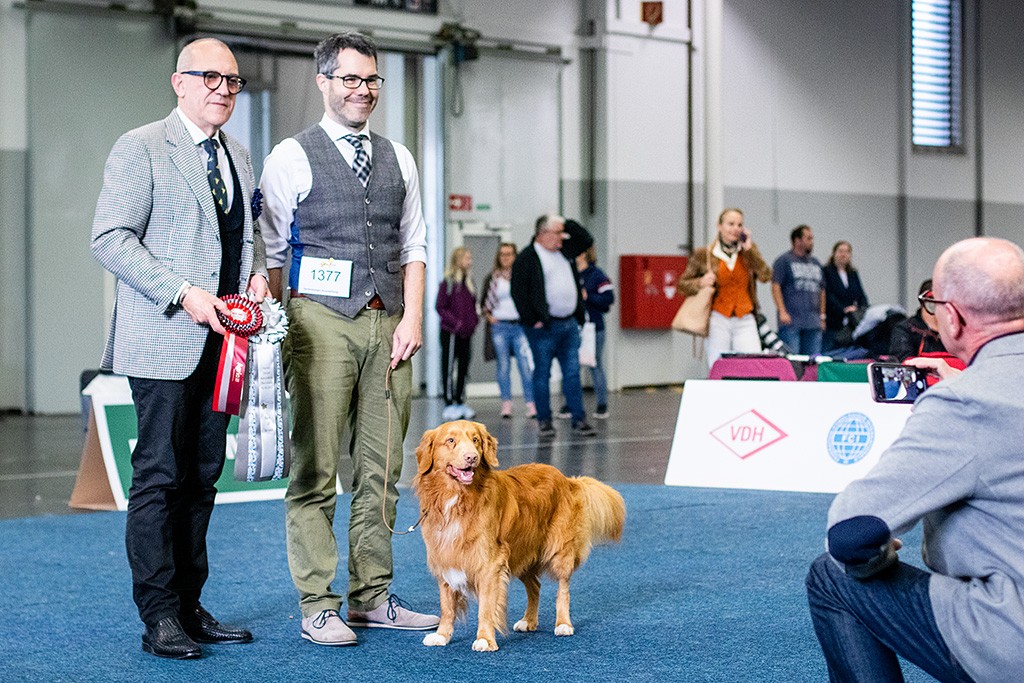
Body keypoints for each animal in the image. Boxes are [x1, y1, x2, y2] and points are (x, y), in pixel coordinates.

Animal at [413, 417, 622, 651]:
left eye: (475, 440)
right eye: (450, 440)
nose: (472, 458)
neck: (458, 498)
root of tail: (568, 479)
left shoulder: (489, 564)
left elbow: (486, 607)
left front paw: (485, 639)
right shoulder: (445, 557)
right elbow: (446, 606)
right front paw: (442, 635)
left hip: (559, 552)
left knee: (563, 589)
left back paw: (563, 624)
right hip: (521, 553)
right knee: (535, 586)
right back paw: (528, 621)